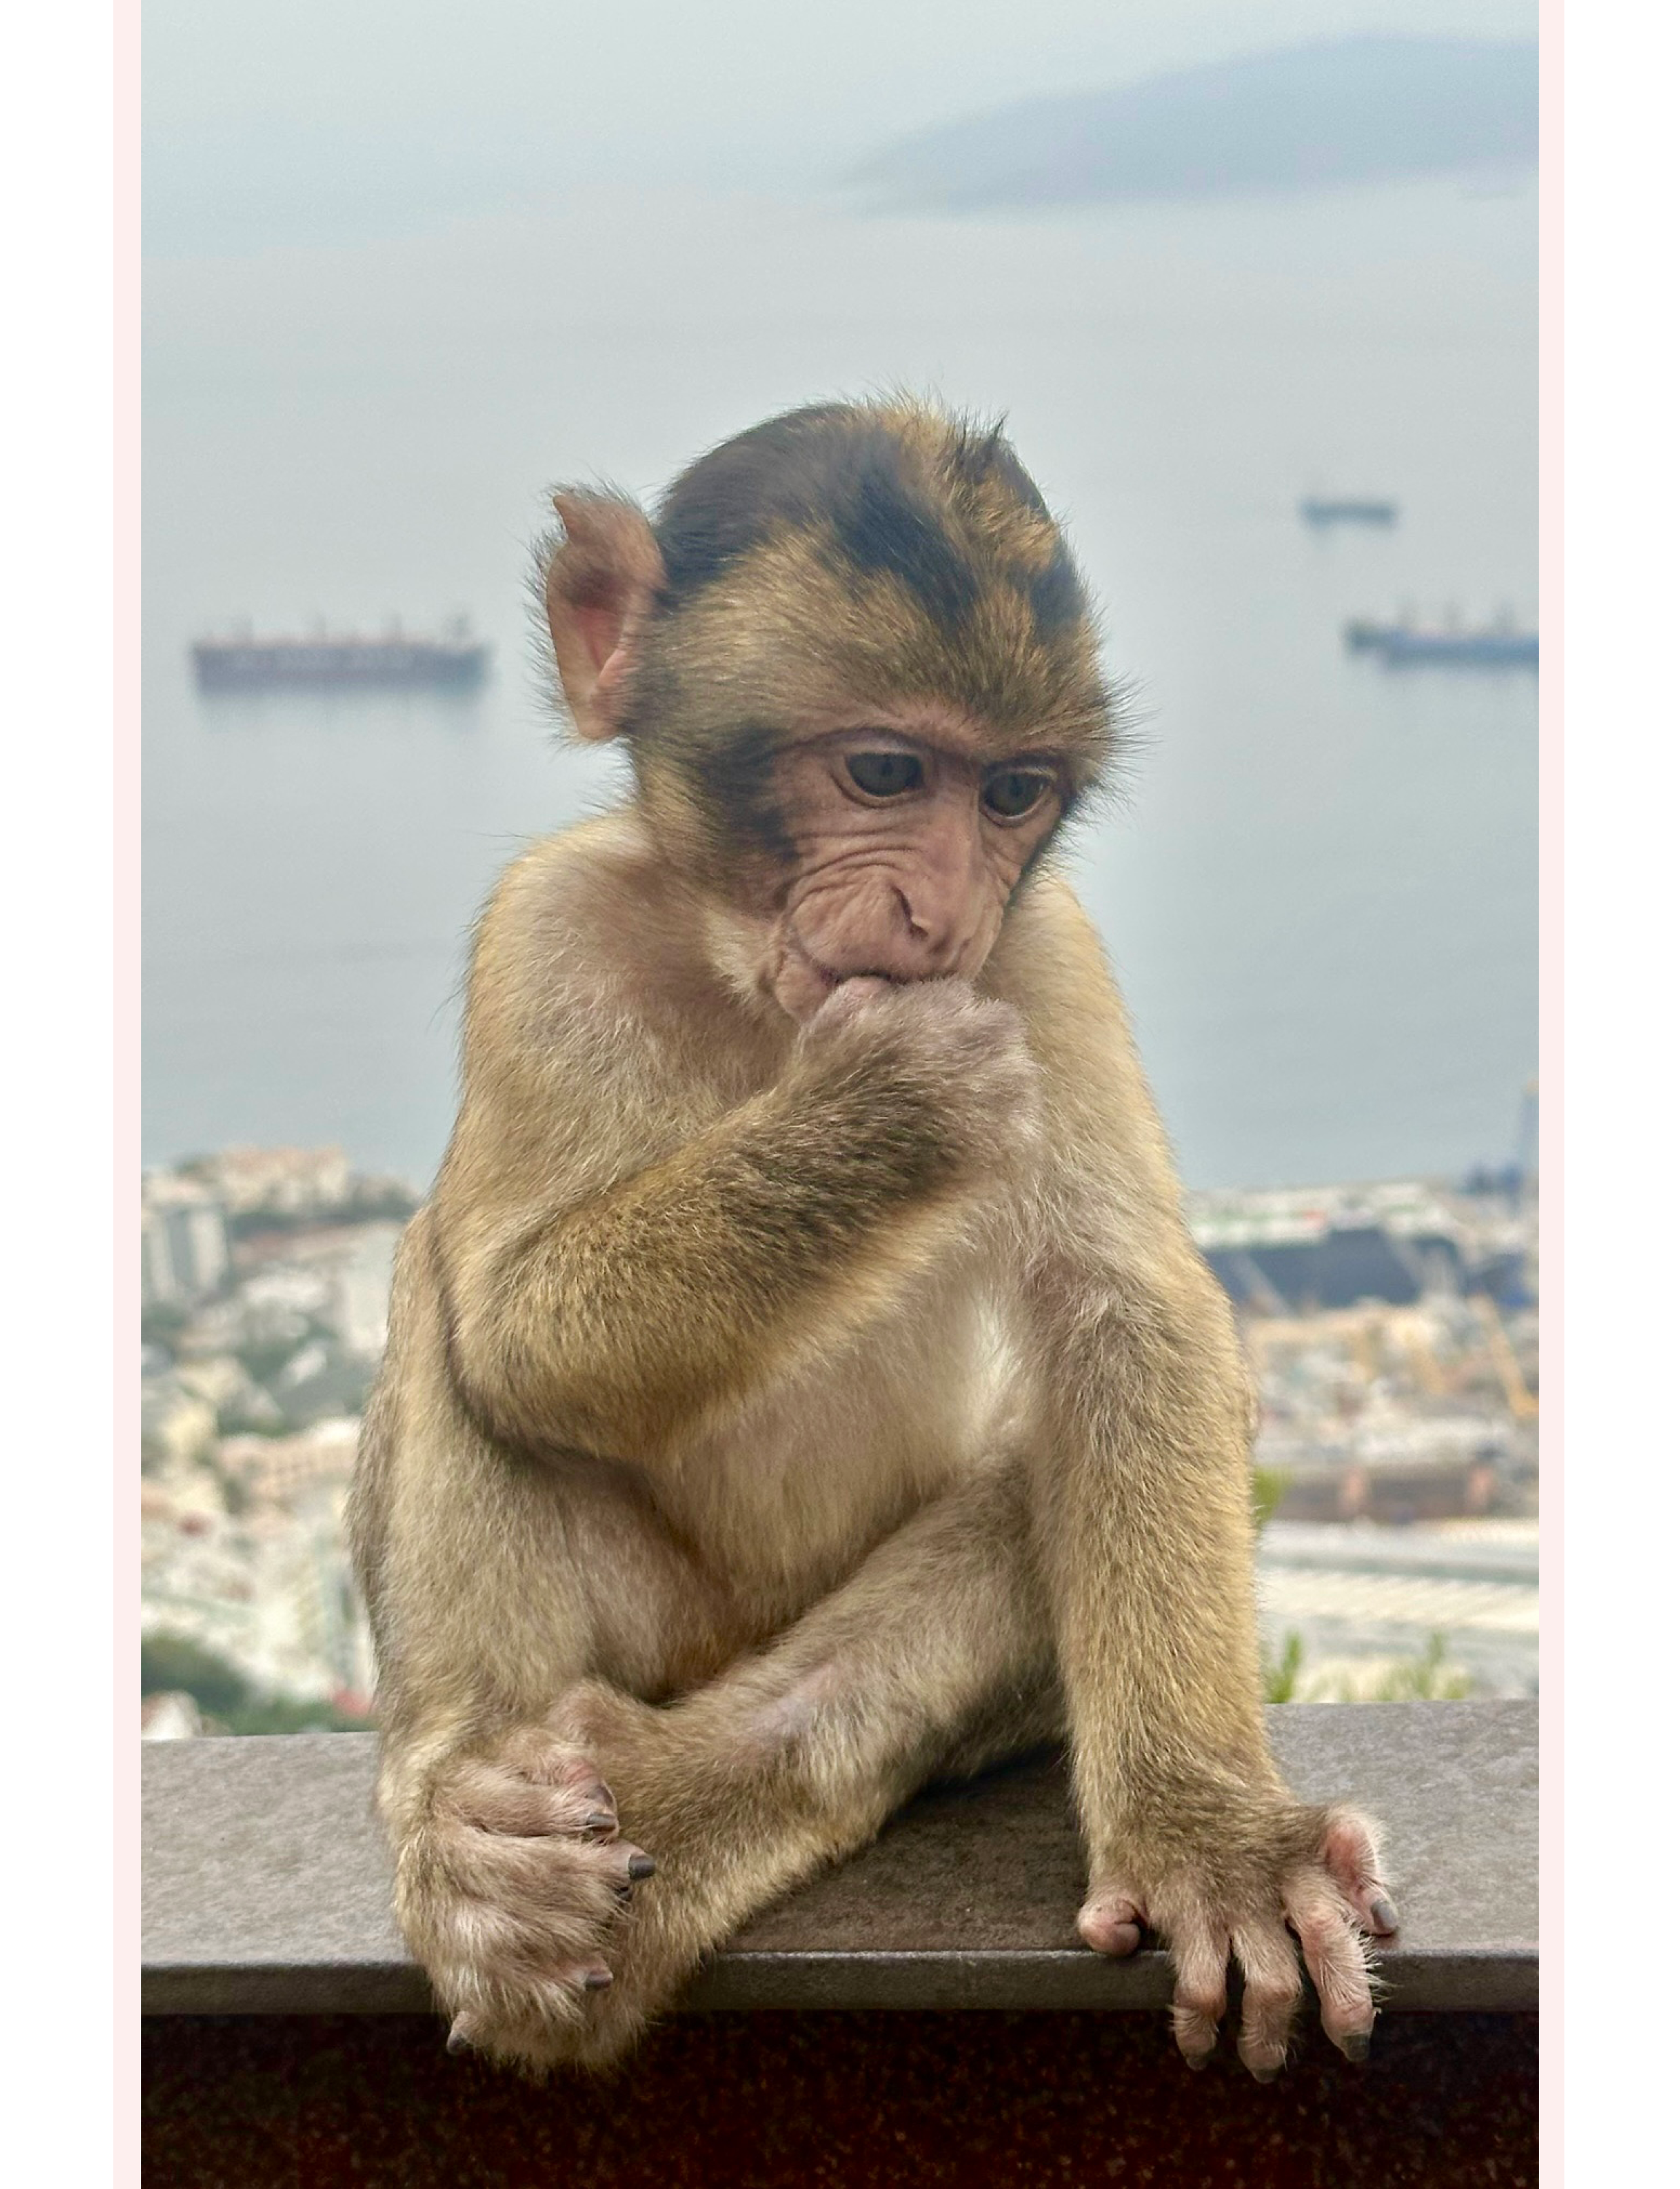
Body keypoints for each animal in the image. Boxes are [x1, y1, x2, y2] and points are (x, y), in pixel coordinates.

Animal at [347, 396, 1397, 2083]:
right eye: (886, 768)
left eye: (1012, 794)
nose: (933, 915)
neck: (751, 982)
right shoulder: (544, 927)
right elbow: (510, 1321)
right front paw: (888, 1108)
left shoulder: (1041, 958)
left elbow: (1125, 1319)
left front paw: (1213, 1843)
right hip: (646, 1627)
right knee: (439, 1296)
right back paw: (476, 1843)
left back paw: (693, 1786)